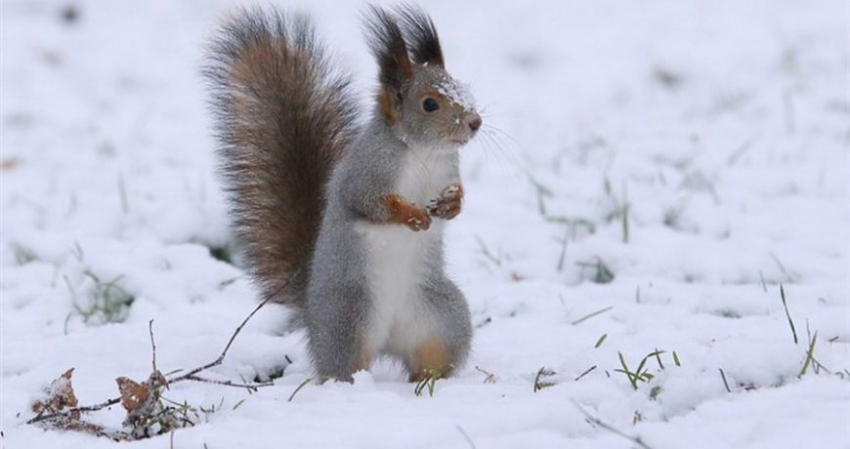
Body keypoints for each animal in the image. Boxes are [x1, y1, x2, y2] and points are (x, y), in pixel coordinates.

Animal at [205, 5, 480, 380]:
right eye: (429, 104)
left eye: (462, 88)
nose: (475, 122)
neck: (424, 153)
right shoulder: (363, 174)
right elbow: (369, 204)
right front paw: (411, 215)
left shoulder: (449, 171)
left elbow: (458, 195)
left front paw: (452, 205)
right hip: (347, 320)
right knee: (344, 364)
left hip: (442, 319)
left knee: (432, 357)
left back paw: (426, 379)